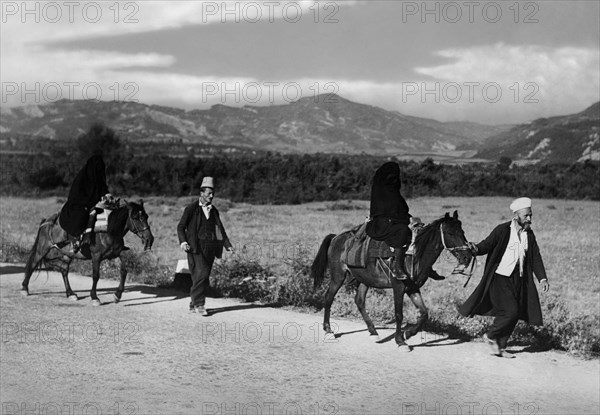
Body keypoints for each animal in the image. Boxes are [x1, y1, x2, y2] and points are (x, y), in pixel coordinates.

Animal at [22, 202, 155, 306]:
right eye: (136, 217)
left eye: (146, 216)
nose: (150, 239)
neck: (108, 231)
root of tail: (46, 221)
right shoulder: (96, 256)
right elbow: (96, 276)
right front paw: (94, 297)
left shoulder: (116, 254)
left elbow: (124, 271)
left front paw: (117, 295)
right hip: (42, 249)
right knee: (33, 264)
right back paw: (24, 288)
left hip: (68, 254)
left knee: (64, 270)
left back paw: (70, 293)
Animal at [310, 211, 474, 352]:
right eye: (450, 233)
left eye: (463, 232)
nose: (467, 257)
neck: (413, 256)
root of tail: (336, 237)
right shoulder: (398, 287)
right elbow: (399, 314)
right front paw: (400, 341)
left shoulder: (413, 288)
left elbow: (424, 314)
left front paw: (408, 334)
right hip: (338, 276)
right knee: (329, 298)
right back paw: (329, 330)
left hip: (365, 279)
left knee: (359, 301)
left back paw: (373, 332)